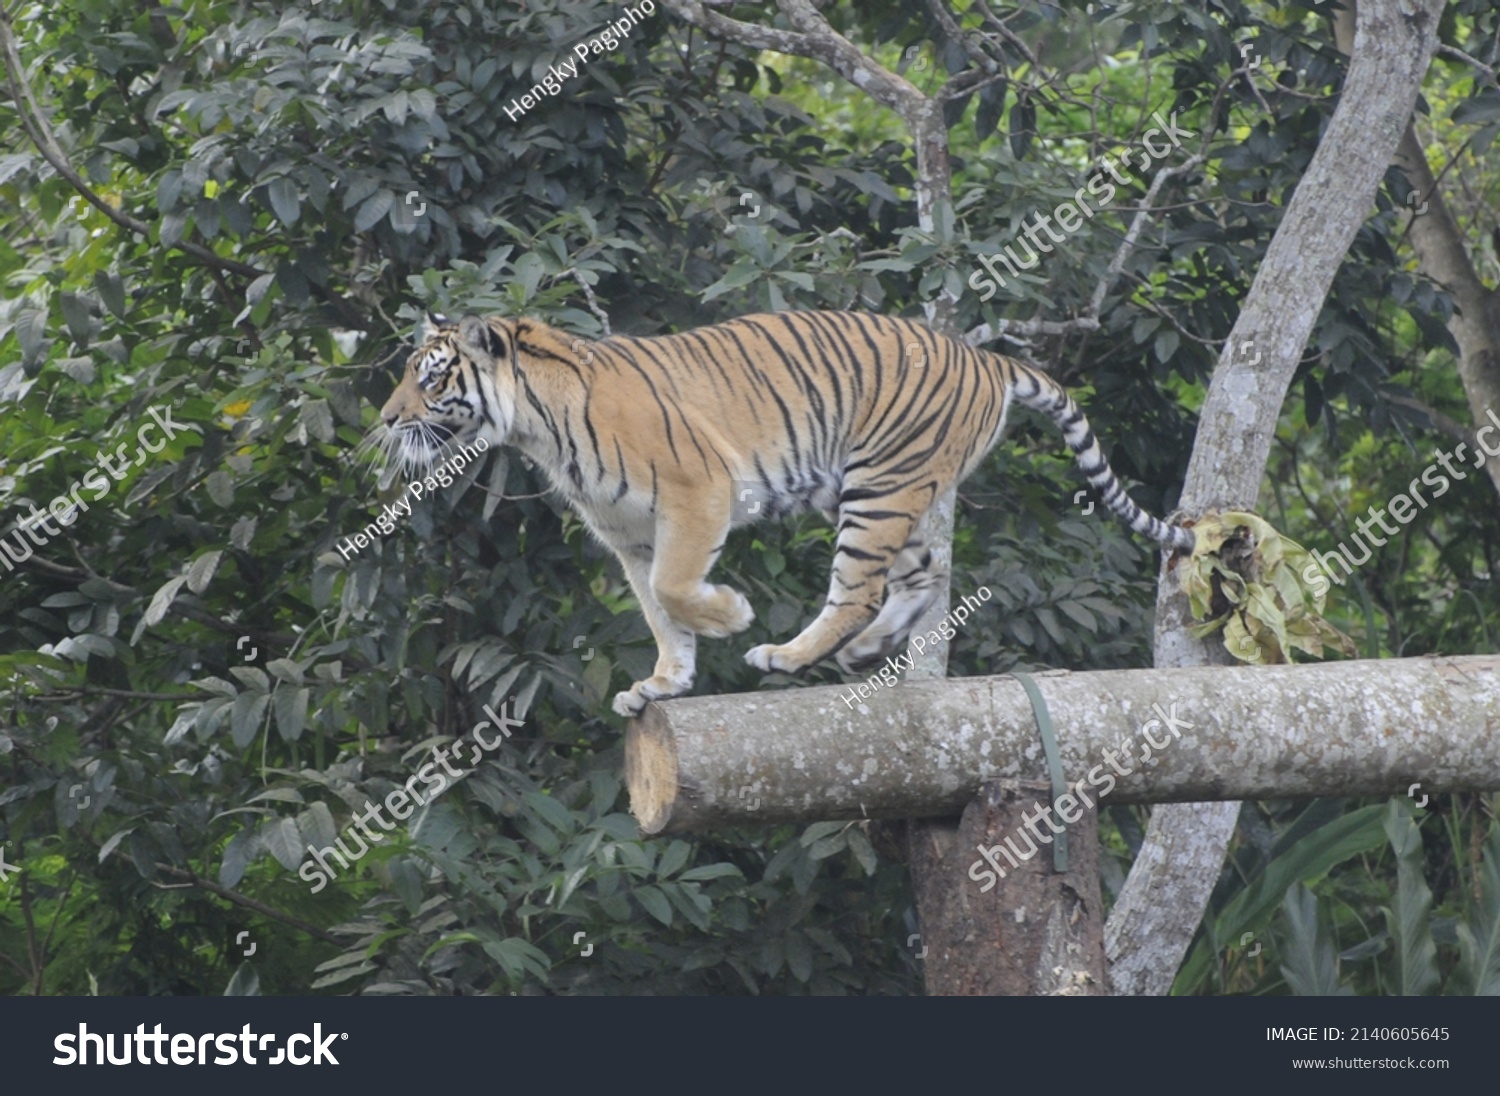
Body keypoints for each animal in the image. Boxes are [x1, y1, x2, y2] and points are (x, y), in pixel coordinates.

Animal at [378, 308, 1194, 719]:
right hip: (878, 493)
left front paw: (730, 617)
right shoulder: (627, 538)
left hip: (878, 488)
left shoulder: (697, 491)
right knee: (926, 574)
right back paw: (864, 653)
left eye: (431, 378)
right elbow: (658, 611)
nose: (386, 420)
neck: (534, 425)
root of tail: (987, 357)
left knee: (860, 589)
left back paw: (788, 655)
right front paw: (663, 684)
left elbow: (676, 589)